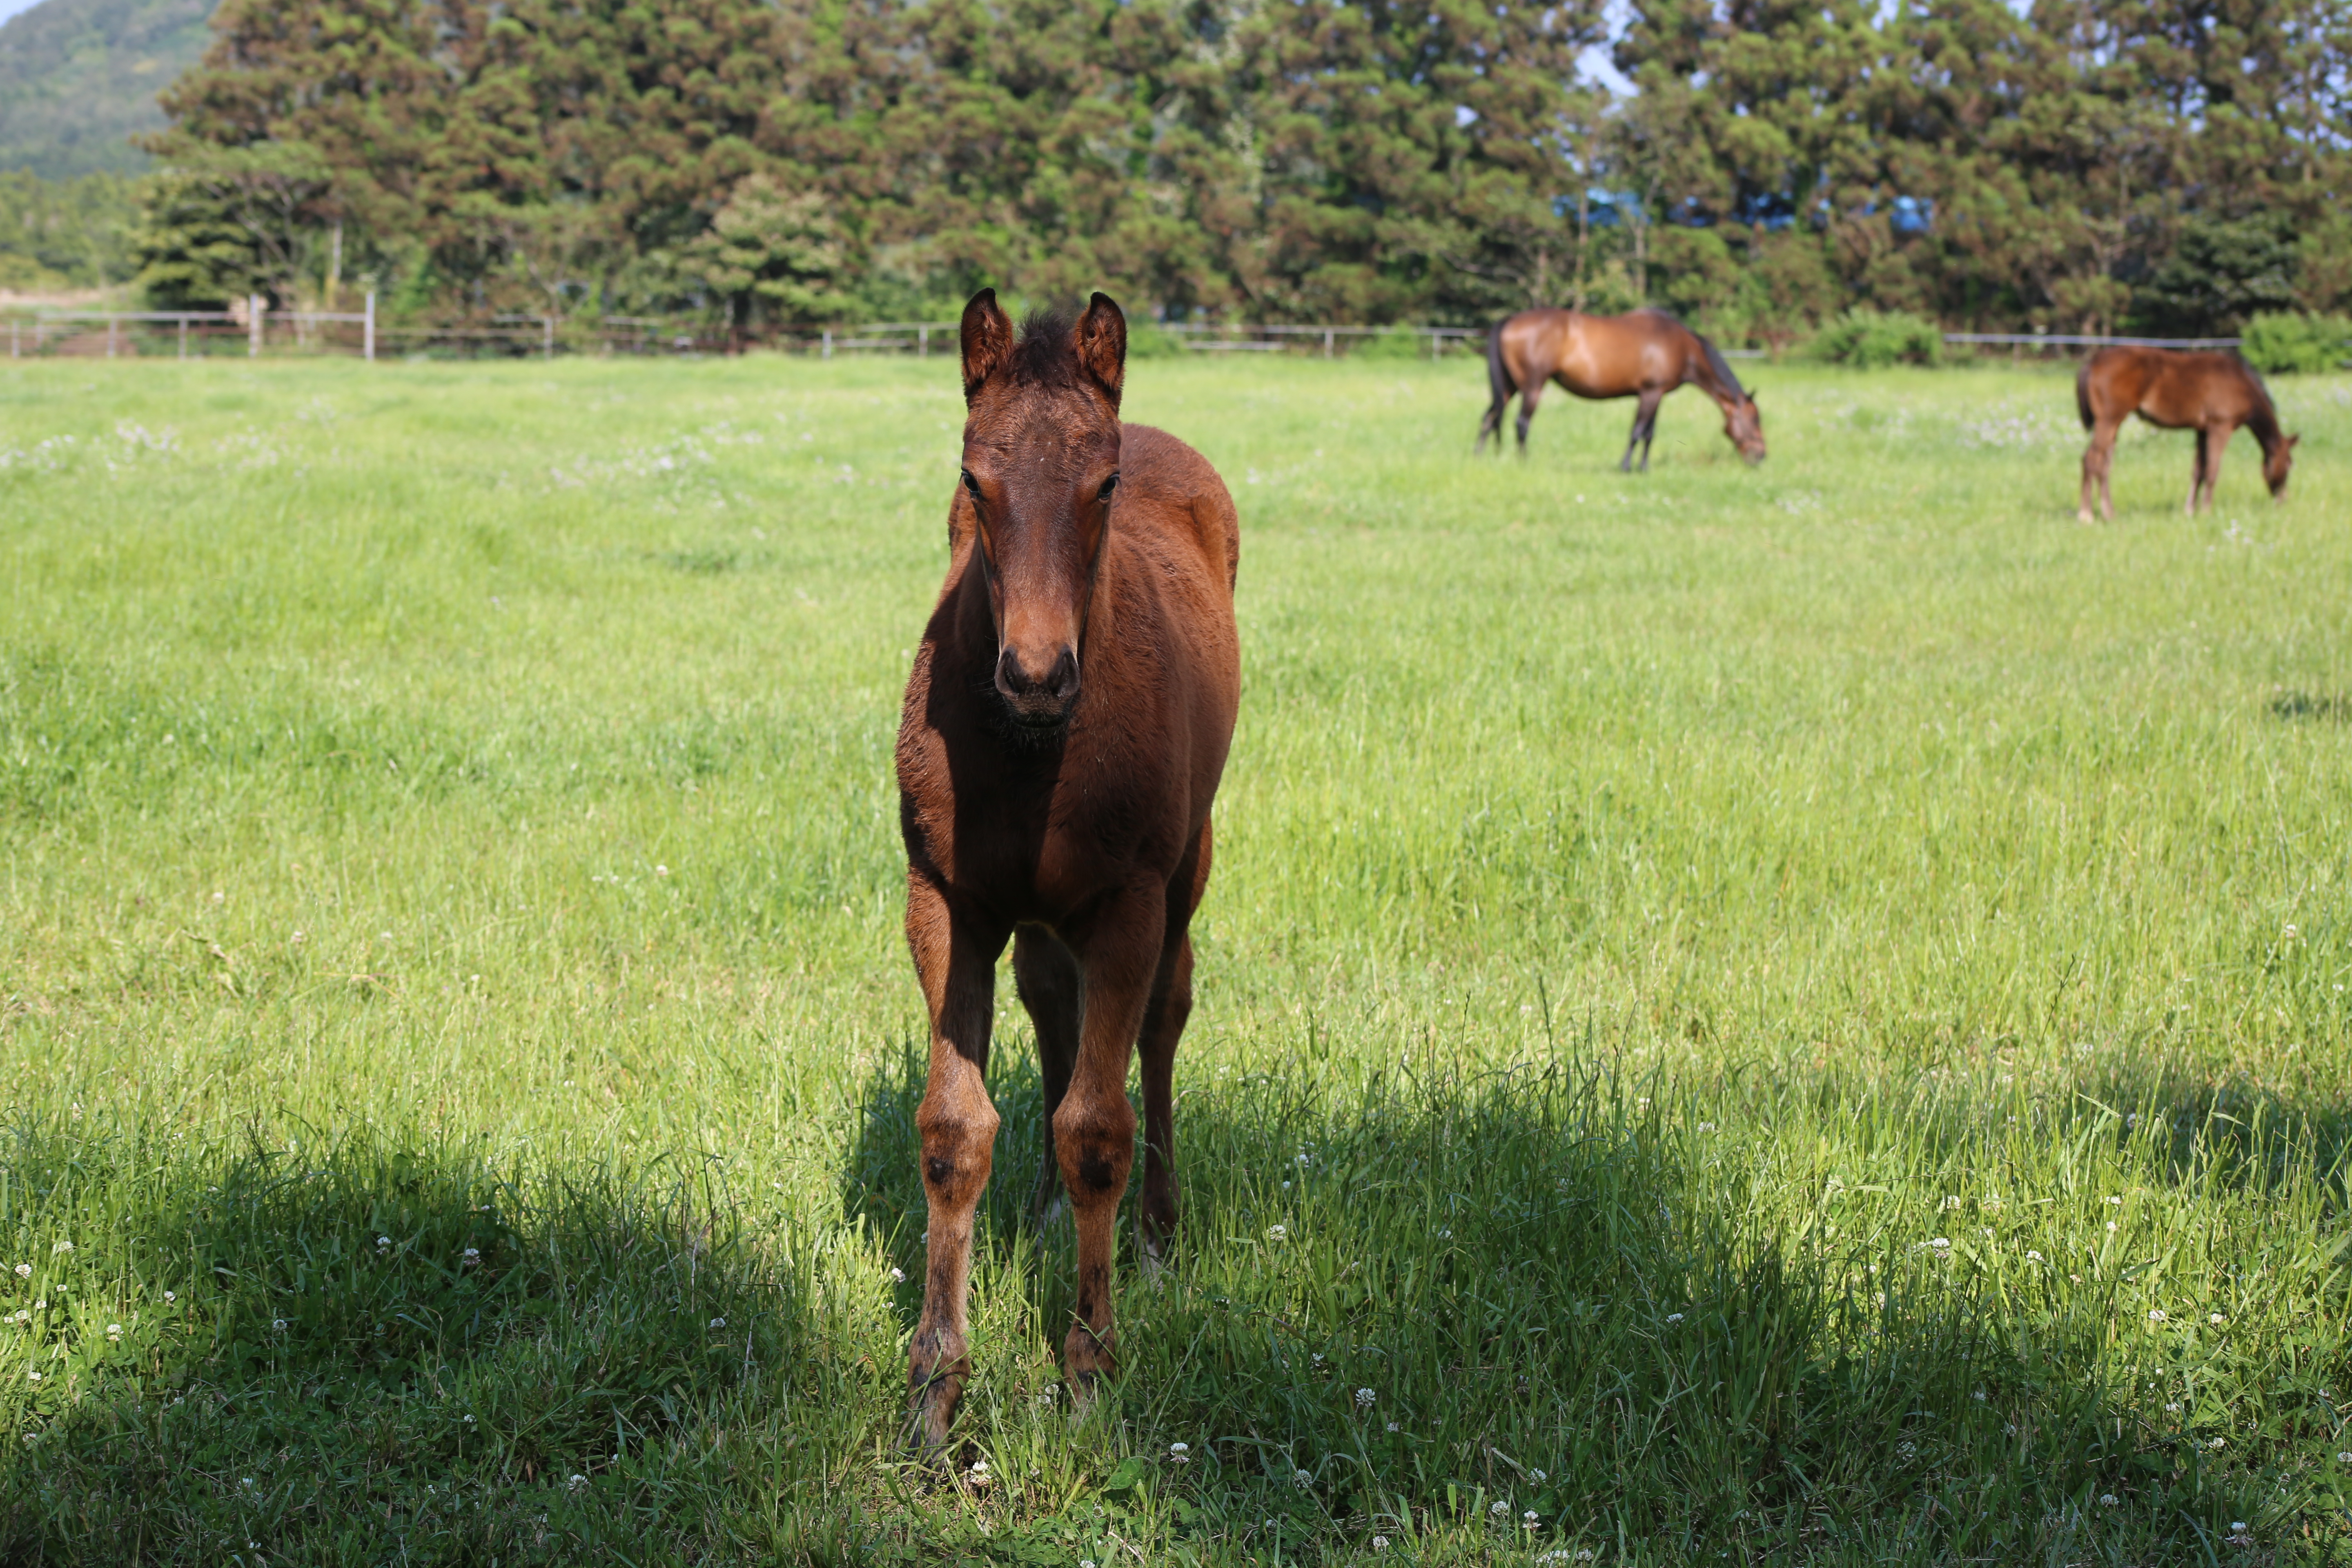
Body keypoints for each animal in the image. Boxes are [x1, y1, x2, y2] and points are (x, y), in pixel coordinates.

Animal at [889, 291, 1242, 1448]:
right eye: (971, 481)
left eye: (1104, 484)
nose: (1036, 677)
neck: (1027, 754)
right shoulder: (945, 900)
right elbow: (954, 1130)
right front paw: (934, 1389)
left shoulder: (1128, 900)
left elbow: (1099, 1125)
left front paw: (1089, 1370)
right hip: (1039, 910)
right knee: (1051, 1002)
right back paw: (1044, 1206)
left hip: (1186, 865)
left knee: (1164, 1022)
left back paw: (1159, 1235)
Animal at [1477, 308, 1759, 472]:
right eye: (1756, 420)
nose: (1762, 456)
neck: (1682, 346)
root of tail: (1511, 319)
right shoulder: (1650, 394)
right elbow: (1636, 432)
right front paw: (1626, 467)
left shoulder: (1657, 395)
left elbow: (1649, 434)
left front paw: (1643, 468)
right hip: (1533, 387)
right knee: (1522, 423)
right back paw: (1524, 462)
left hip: (1509, 387)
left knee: (1489, 417)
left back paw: (1480, 456)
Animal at [2079, 345, 2295, 524]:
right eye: (2289, 465)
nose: (2283, 500)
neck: (2241, 383)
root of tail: (2094, 361)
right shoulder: (2220, 427)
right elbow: (2212, 471)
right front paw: (2206, 512)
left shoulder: (2202, 430)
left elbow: (2199, 470)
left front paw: (2190, 511)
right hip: (2109, 421)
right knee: (2091, 459)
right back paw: (2086, 515)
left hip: (2114, 426)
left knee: (2104, 466)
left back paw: (2109, 514)